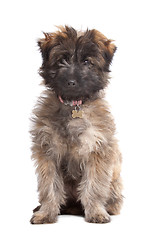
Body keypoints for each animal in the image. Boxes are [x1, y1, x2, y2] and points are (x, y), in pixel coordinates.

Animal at [30, 25, 122, 223]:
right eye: (62, 60)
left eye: (87, 62)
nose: (71, 82)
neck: (73, 106)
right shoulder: (48, 153)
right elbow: (50, 187)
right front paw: (46, 213)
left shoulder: (97, 151)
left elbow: (94, 186)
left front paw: (96, 212)